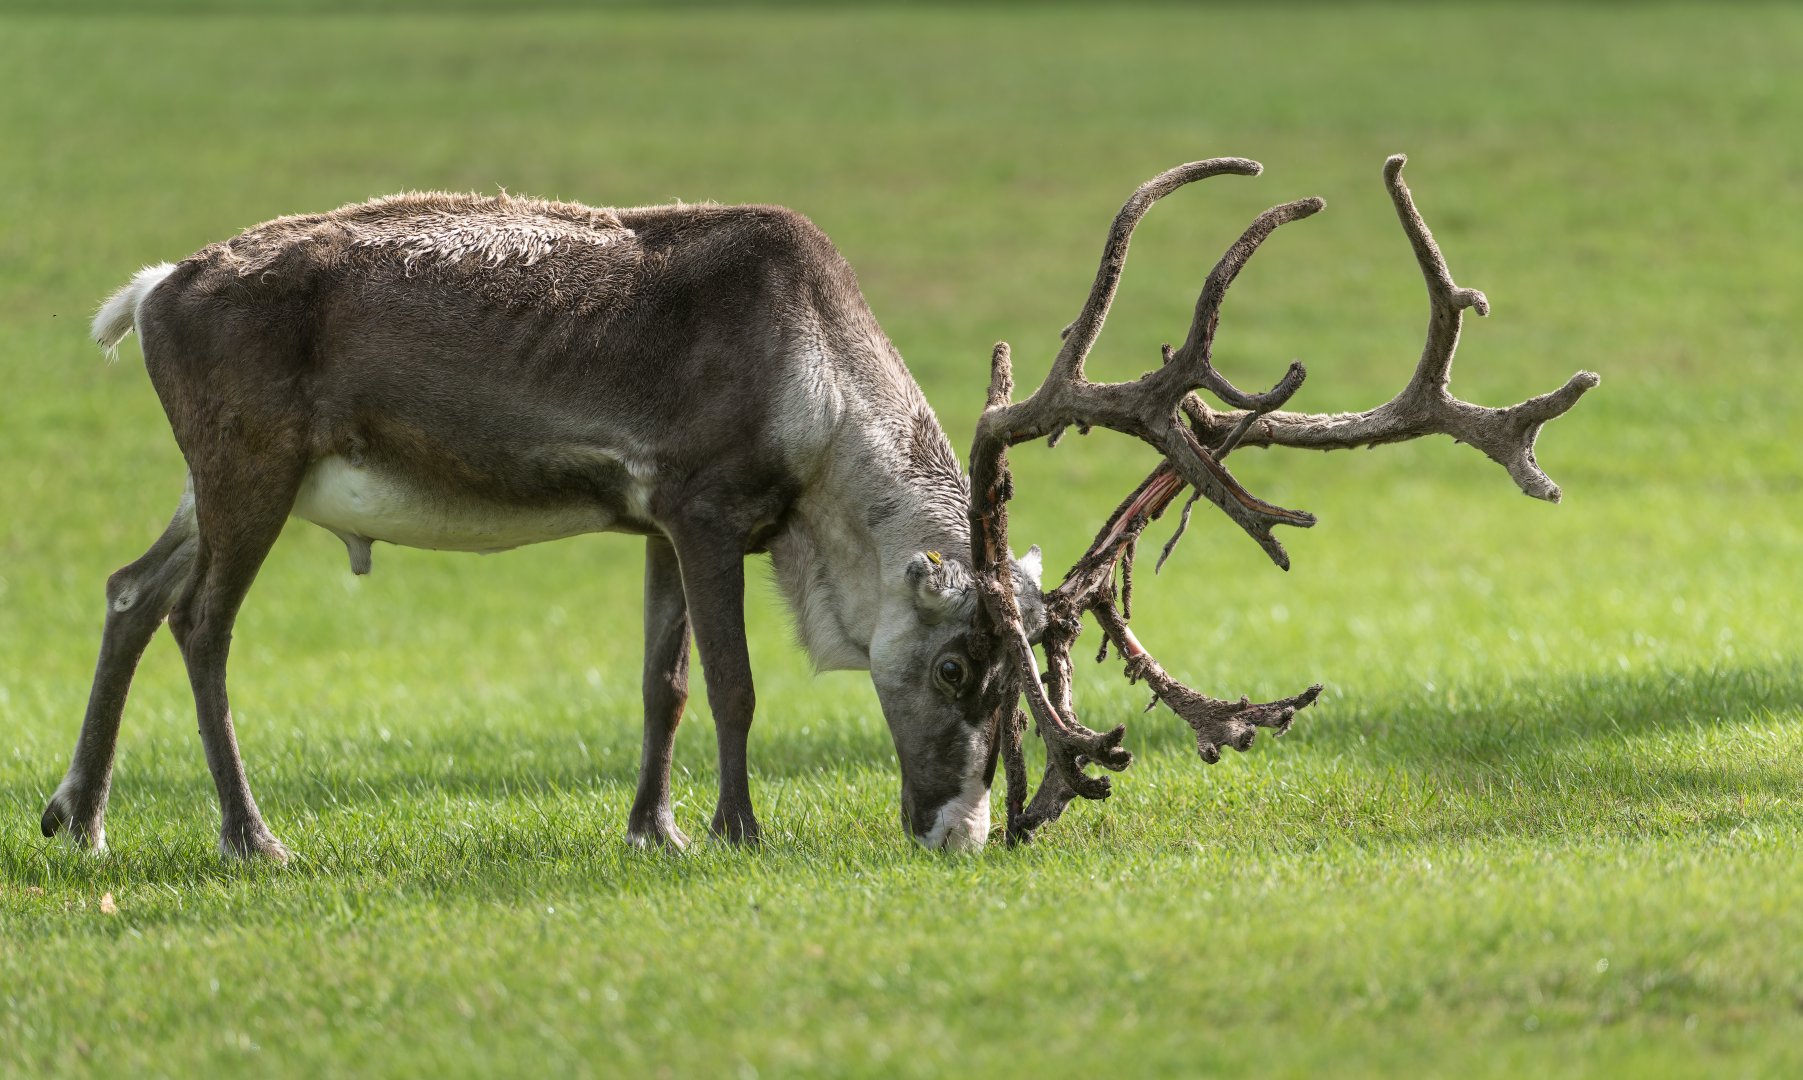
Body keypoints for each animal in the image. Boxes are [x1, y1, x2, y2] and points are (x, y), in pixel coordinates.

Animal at [42, 153, 1596, 860]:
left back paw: (79, 816)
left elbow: (661, 684)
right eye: (963, 664)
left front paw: (653, 830)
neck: (820, 402)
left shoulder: (652, 526)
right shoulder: (703, 502)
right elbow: (731, 684)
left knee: (126, 588)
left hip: (219, 476)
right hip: (251, 463)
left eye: (1028, 679)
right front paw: (733, 831)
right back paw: (248, 836)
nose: (958, 830)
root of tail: (154, 291)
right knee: (197, 625)